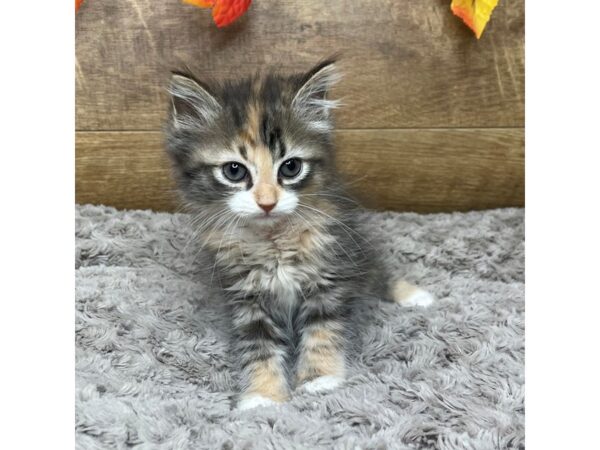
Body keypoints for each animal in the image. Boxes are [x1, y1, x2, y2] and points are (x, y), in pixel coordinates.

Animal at [165, 58, 436, 410]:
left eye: (290, 167)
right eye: (234, 171)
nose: (267, 202)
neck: (274, 242)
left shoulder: (330, 272)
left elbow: (322, 331)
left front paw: (320, 379)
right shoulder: (245, 296)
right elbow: (259, 348)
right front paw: (263, 396)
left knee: (376, 270)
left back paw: (414, 296)